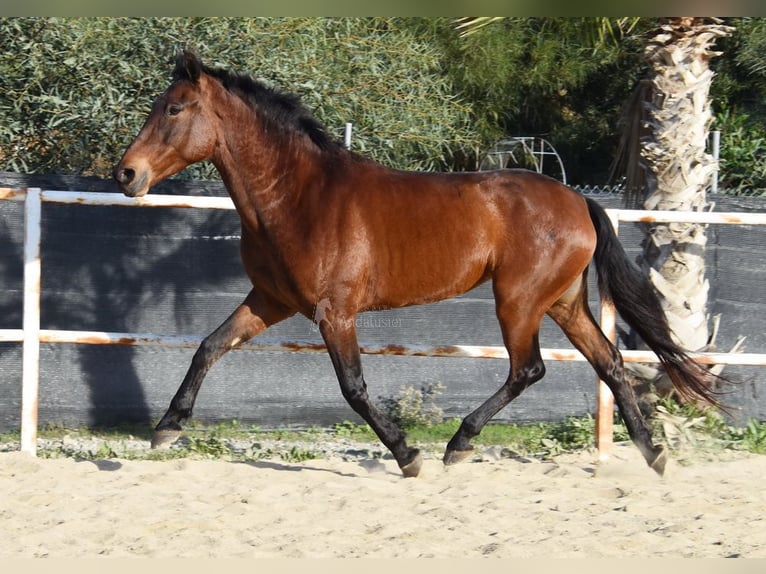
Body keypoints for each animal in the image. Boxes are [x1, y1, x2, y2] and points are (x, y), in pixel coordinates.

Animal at [112, 51, 720, 480]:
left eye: (173, 108)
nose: (127, 174)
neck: (297, 197)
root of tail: (578, 201)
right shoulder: (271, 300)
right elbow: (209, 346)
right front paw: (166, 429)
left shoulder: (334, 313)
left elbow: (354, 387)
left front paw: (408, 455)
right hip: (563, 303)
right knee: (610, 362)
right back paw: (654, 455)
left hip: (518, 300)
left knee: (529, 369)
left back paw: (458, 444)